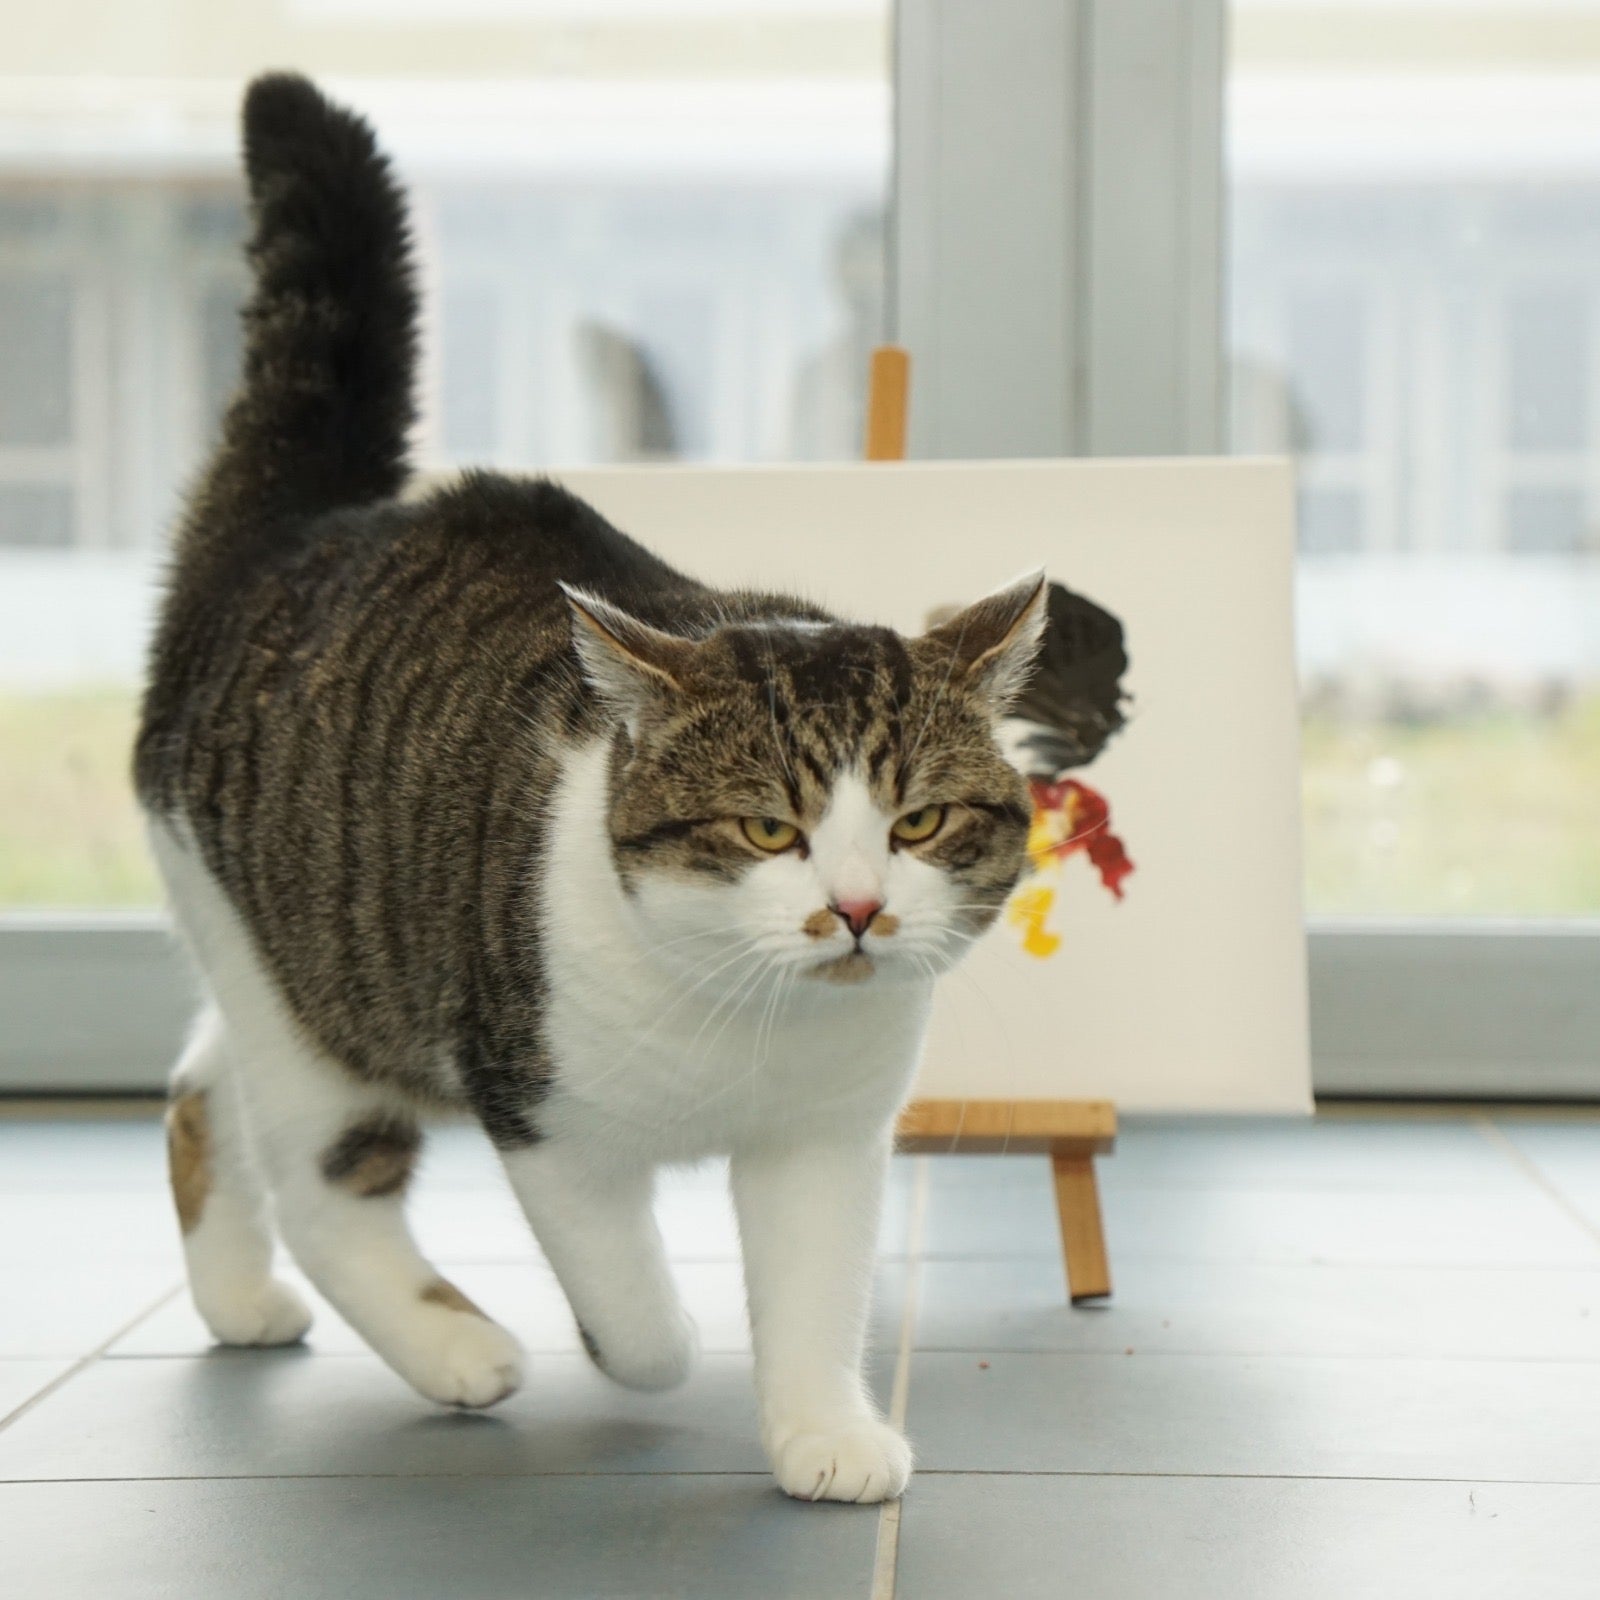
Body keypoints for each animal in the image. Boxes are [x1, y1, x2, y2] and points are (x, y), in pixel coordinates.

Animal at [131, 72, 1043, 1497]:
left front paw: (823, 1433)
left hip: (306, 972)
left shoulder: (827, 1142)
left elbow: (815, 1294)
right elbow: (632, 1301)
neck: (749, 1022)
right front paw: (644, 1349)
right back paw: (457, 1348)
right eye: (766, 825)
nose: (855, 909)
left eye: (920, 821)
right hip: (316, 988)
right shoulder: (540, 1109)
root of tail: (298, 529)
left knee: (200, 1082)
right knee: (323, 1180)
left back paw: (236, 1294)